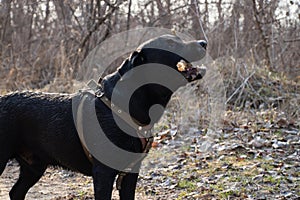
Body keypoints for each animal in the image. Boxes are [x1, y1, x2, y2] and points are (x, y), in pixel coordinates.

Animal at [0, 35, 206, 199]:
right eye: (170, 43)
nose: (203, 42)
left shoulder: (131, 173)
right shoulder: (103, 173)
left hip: (34, 167)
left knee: (16, 192)